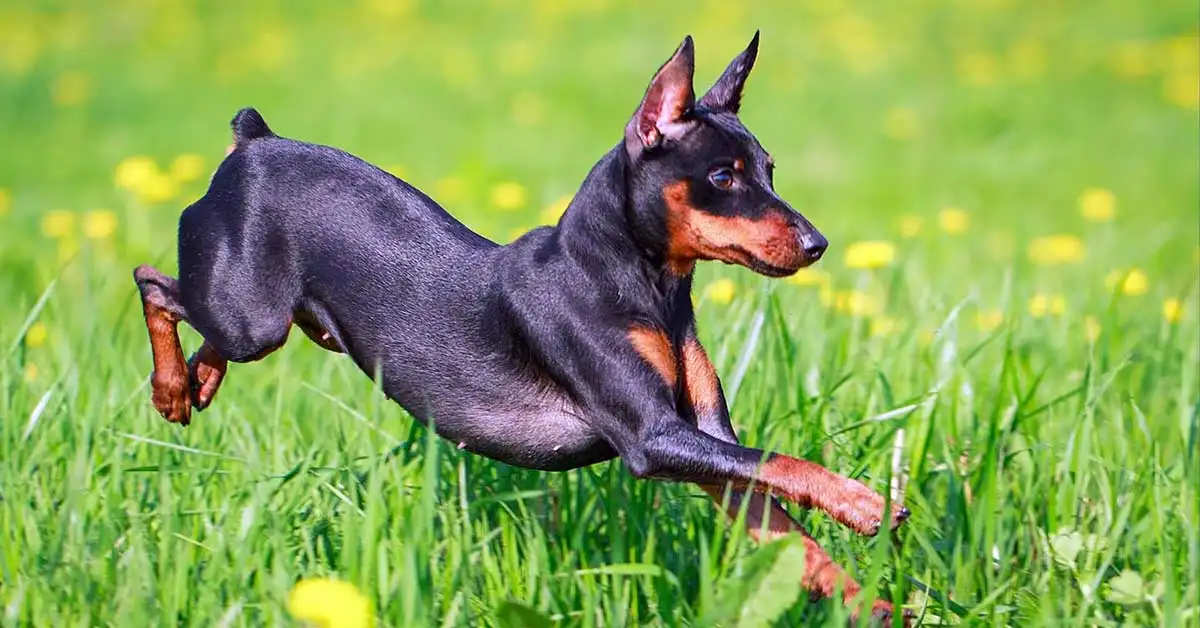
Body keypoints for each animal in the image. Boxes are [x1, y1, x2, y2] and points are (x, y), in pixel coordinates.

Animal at [133, 33, 907, 624]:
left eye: (770, 170)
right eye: (723, 176)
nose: (817, 244)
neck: (641, 286)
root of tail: (252, 143)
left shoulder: (710, 443)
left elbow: (793, 528)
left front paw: (875, 603)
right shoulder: (655, 439)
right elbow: (787, 463)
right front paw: (866, 502)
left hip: (268, 317)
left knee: (198, 320)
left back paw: (197, 382)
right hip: (252, 319)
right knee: (153, 283)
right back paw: (171, 388)